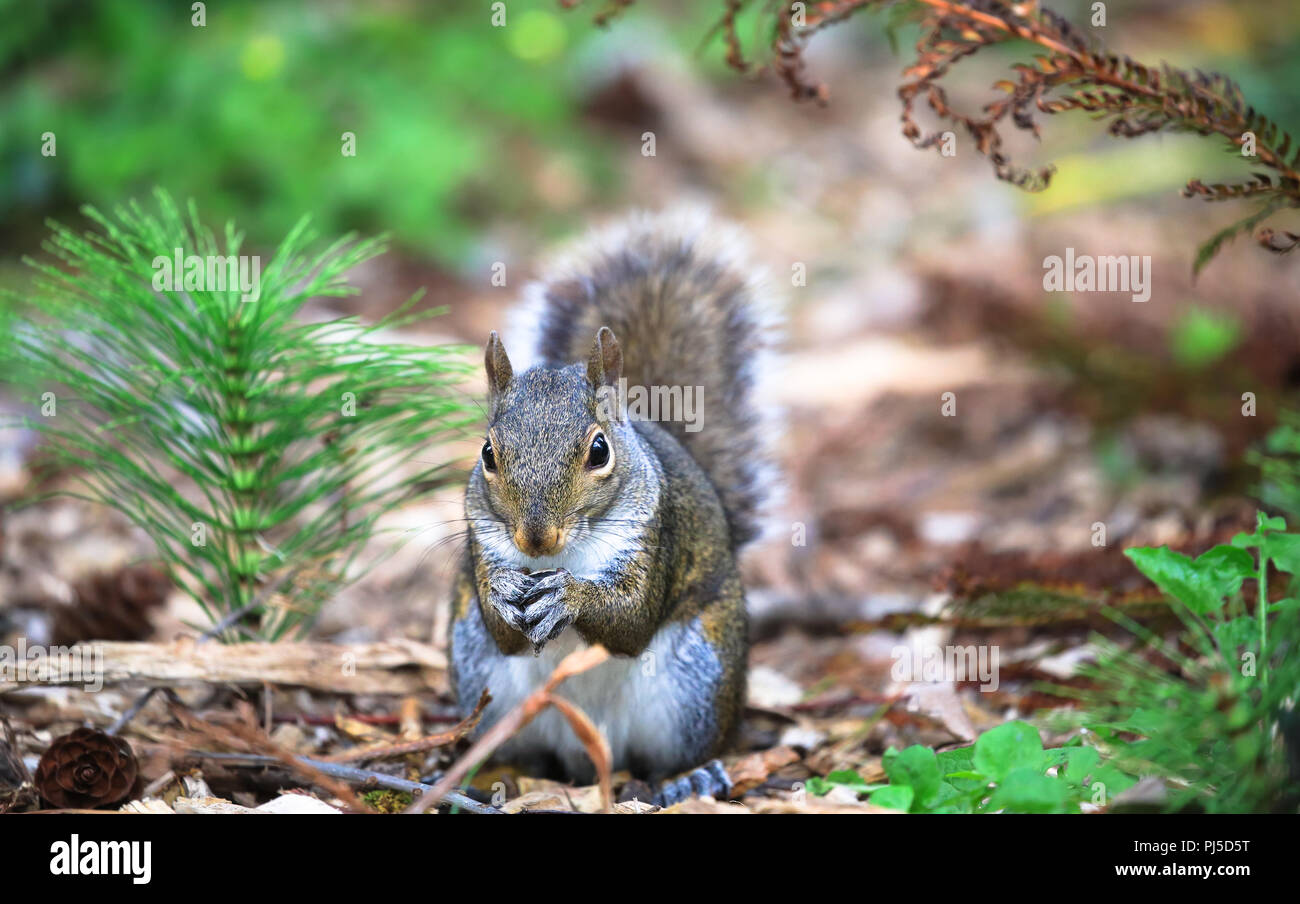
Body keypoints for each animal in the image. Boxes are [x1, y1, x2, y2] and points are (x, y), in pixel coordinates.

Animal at [449, 209, 776, 802]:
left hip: (700, 680)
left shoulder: (655, 534)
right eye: (487, 453)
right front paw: (505, 591)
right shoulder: (481, 540)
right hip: (480, 679)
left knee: (679, 752)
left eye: (599, 450)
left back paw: (686, 778)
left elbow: (631, 620)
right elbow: (501, 629)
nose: (535, 538)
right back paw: (494, 775)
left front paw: (570, 596)